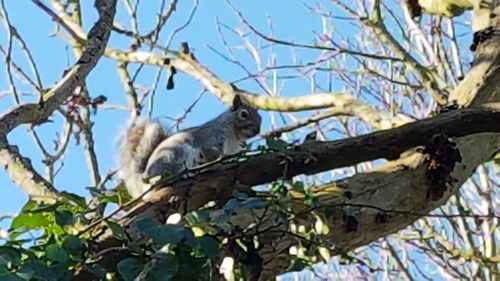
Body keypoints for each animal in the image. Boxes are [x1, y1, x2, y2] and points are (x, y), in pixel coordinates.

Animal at [117, 94, 262, 199]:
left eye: (260, 118)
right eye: (243, 114)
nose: (257, 130)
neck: (234, 136)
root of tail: (144, 180)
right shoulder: (211, 139)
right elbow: (213, 155)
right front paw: (222, 164)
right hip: (176, 155)